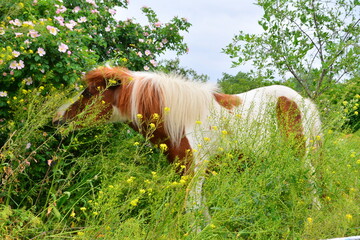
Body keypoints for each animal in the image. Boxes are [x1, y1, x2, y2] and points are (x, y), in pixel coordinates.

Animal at [53, 67, 324, 225]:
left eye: (88, 93)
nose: (58, 120)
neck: (182, 119)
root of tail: (302, 101)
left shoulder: (195, 170)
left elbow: (192, 208)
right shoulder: (186, 172)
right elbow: (200, 207)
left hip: (302, 156)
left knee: (310, 182)